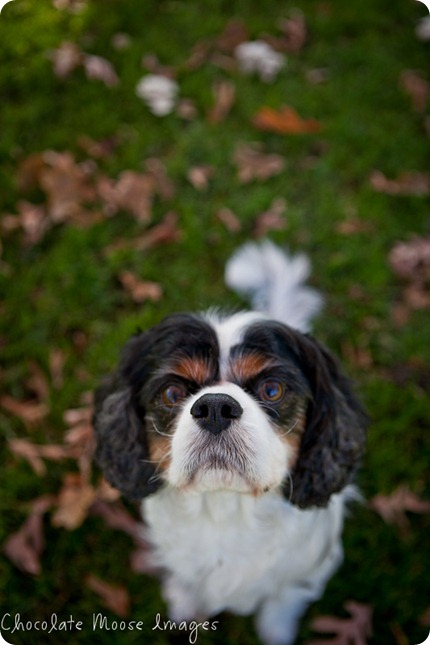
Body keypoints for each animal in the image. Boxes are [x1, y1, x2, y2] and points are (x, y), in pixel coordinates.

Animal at [93, 242, 366, 644]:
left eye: (272, 389)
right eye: (172, 392)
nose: (215, 407)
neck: (225, 507)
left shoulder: (307, 571)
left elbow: (281, 603)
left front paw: (277, 631)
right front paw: (184, 604)